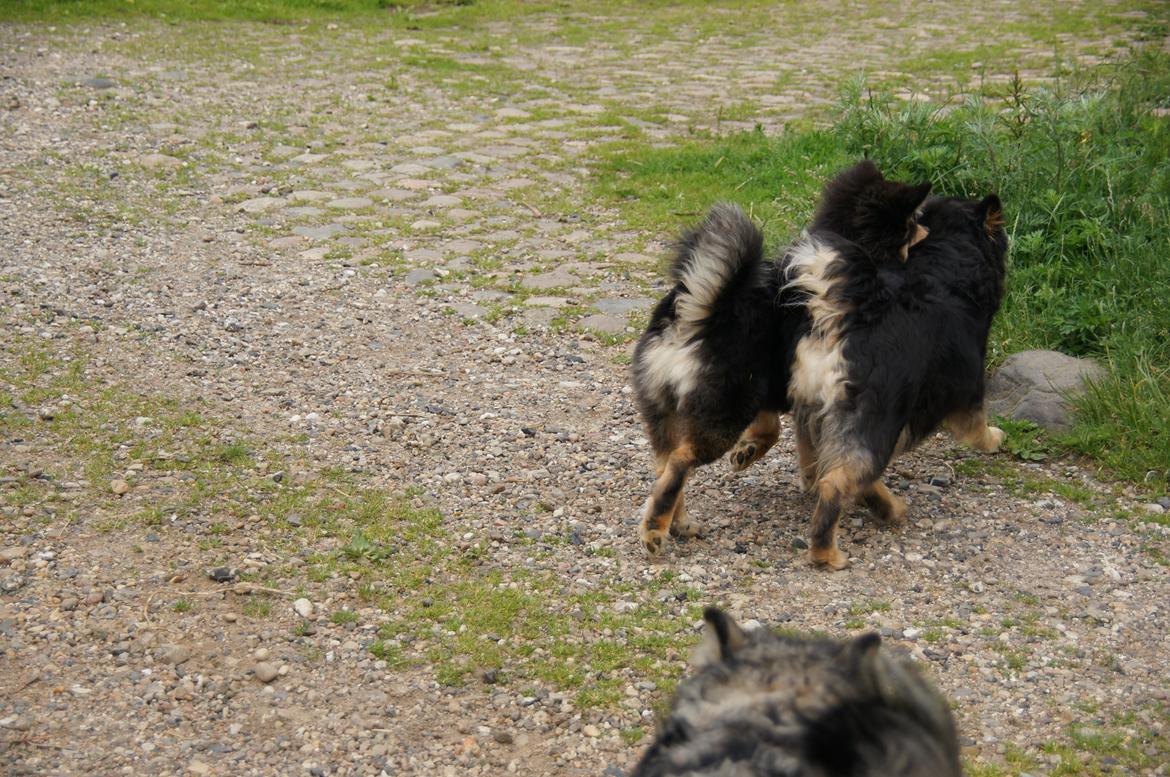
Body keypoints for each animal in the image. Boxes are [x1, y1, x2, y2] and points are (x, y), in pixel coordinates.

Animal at [631, 159, 931, 559]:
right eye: (912, 225)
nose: (928, 230)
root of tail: (698, 315)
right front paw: (886, 504)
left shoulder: (778, 391)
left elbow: (782, 435)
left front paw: (760, 455)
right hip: (722, 413)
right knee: (680, 464)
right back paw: (655, 530)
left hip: (669, 413)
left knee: (666, 468)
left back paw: (678, 523)